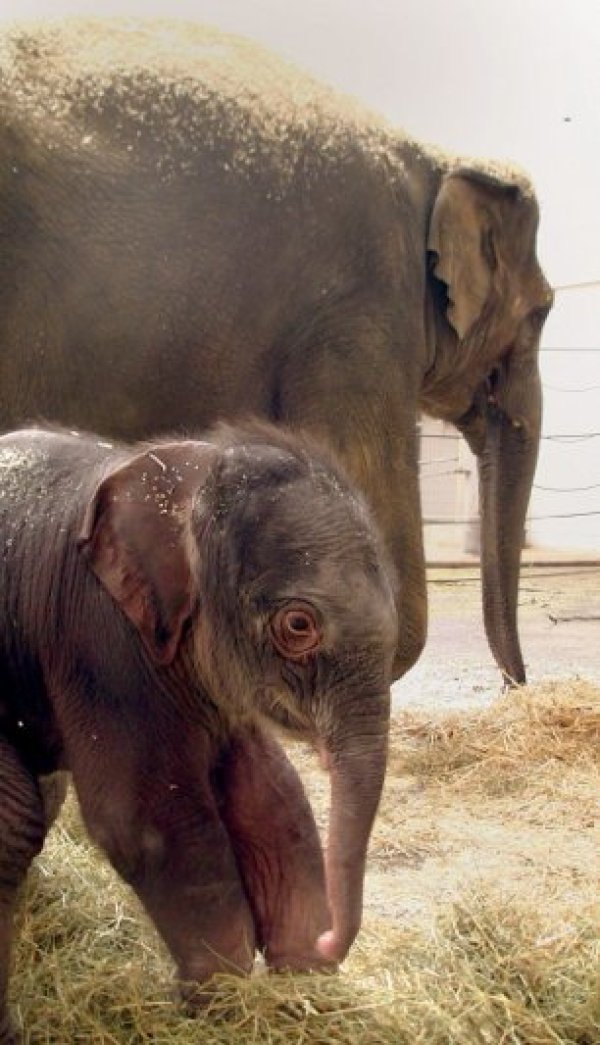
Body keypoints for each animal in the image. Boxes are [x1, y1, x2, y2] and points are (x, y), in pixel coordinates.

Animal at [0, 420, 397, 1040]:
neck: (192, 473)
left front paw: (301, 987)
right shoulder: (100, 634)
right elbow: (150, 821)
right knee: (14, 823)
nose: (331, 942)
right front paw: (223, 1006)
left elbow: (272, 799)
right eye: (298, 625)